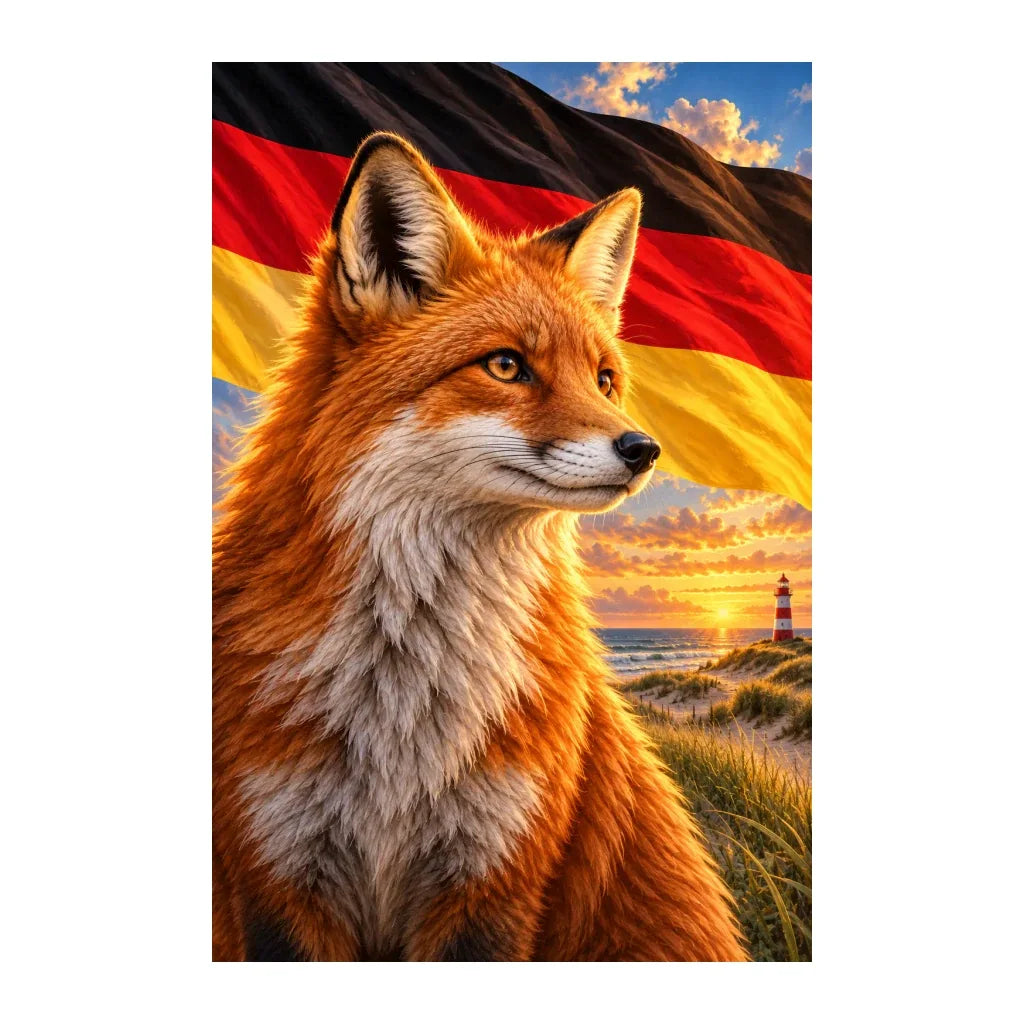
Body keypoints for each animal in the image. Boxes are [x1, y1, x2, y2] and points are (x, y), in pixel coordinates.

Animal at [213, 131, 747, 962]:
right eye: (505, 365)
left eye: (604, 379)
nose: (645, 450)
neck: (405, 709)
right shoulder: (275, 867)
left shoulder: (499, 874)